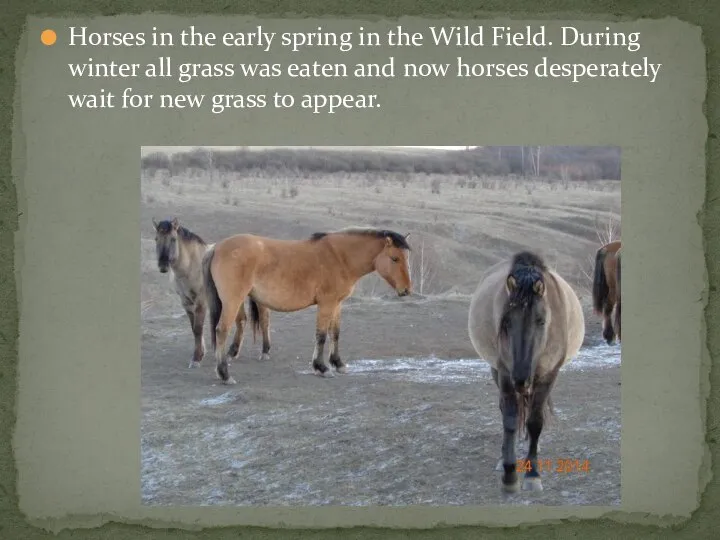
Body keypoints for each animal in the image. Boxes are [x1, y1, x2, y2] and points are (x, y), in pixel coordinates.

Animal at [202, 227, 414, 384]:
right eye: (395, 258)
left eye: (406, 258)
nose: (406, 290)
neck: (339, 257)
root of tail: (217, 247)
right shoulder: (326, 304)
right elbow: (321, 335)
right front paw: (321, 367)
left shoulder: (337, 304)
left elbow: (335, 333)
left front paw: (338, 363)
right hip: (232, 300)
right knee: (222, 330)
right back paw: (224, 374)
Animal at [466, 251, 584, 492]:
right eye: (506, 322)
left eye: (541, 321)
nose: (521, 378)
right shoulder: (504, 373)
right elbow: (510, 420)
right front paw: (509, 474)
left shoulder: (548, 375)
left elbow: (535, 422)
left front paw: (533, 474)